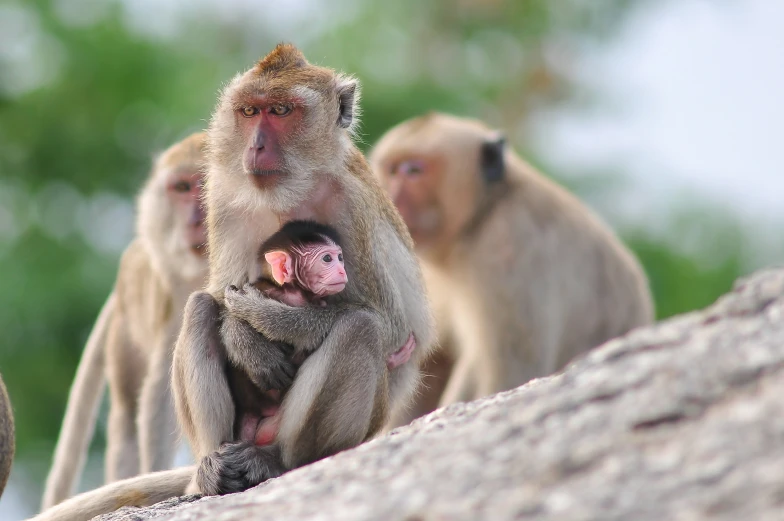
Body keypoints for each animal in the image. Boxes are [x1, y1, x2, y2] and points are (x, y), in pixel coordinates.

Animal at [41, 130, 208, 508]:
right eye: (183, 187)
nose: (197, 219)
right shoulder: (180, 294)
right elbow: (161, 392)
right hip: (125, 333)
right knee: (127, 414)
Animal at [370, 111, 652, 424]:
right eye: (390, 170)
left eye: (412, 170)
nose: (390, 196)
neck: (481, 214)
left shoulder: (509, 248)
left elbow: (510, 372)